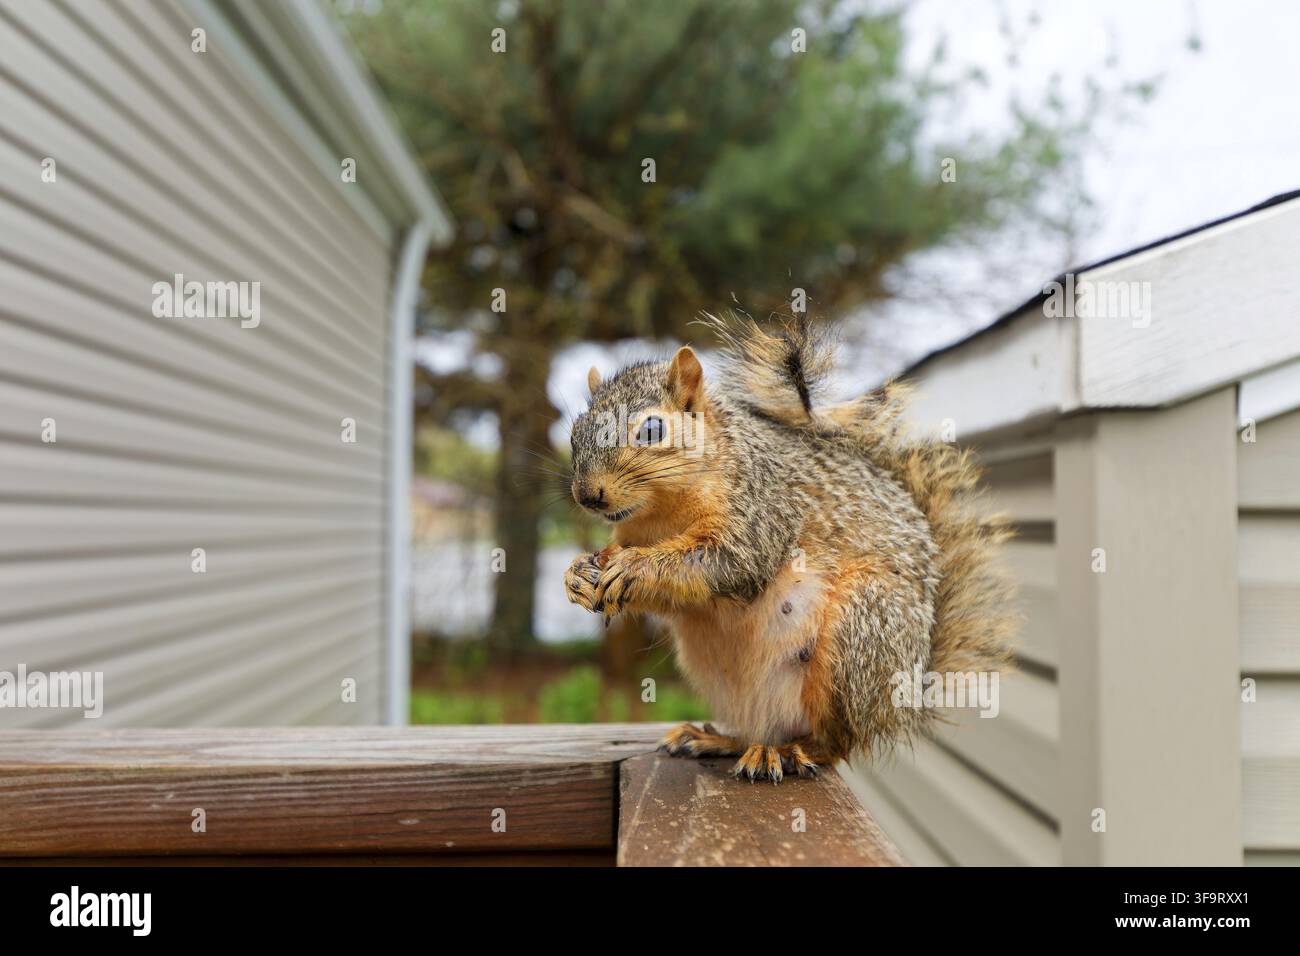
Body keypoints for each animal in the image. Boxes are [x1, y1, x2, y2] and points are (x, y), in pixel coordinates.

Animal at [564, 314, 1015, 782]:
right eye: (575, 431)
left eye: (653, 430)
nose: (588, 495)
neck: (660, 515)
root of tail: (904, 698)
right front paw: (578, 574)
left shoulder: (760, 511)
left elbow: (728, 563)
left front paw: (634, 568)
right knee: (760, 729)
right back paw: (720, 740)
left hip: (858, 633)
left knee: (836, 741)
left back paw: (790, 752)